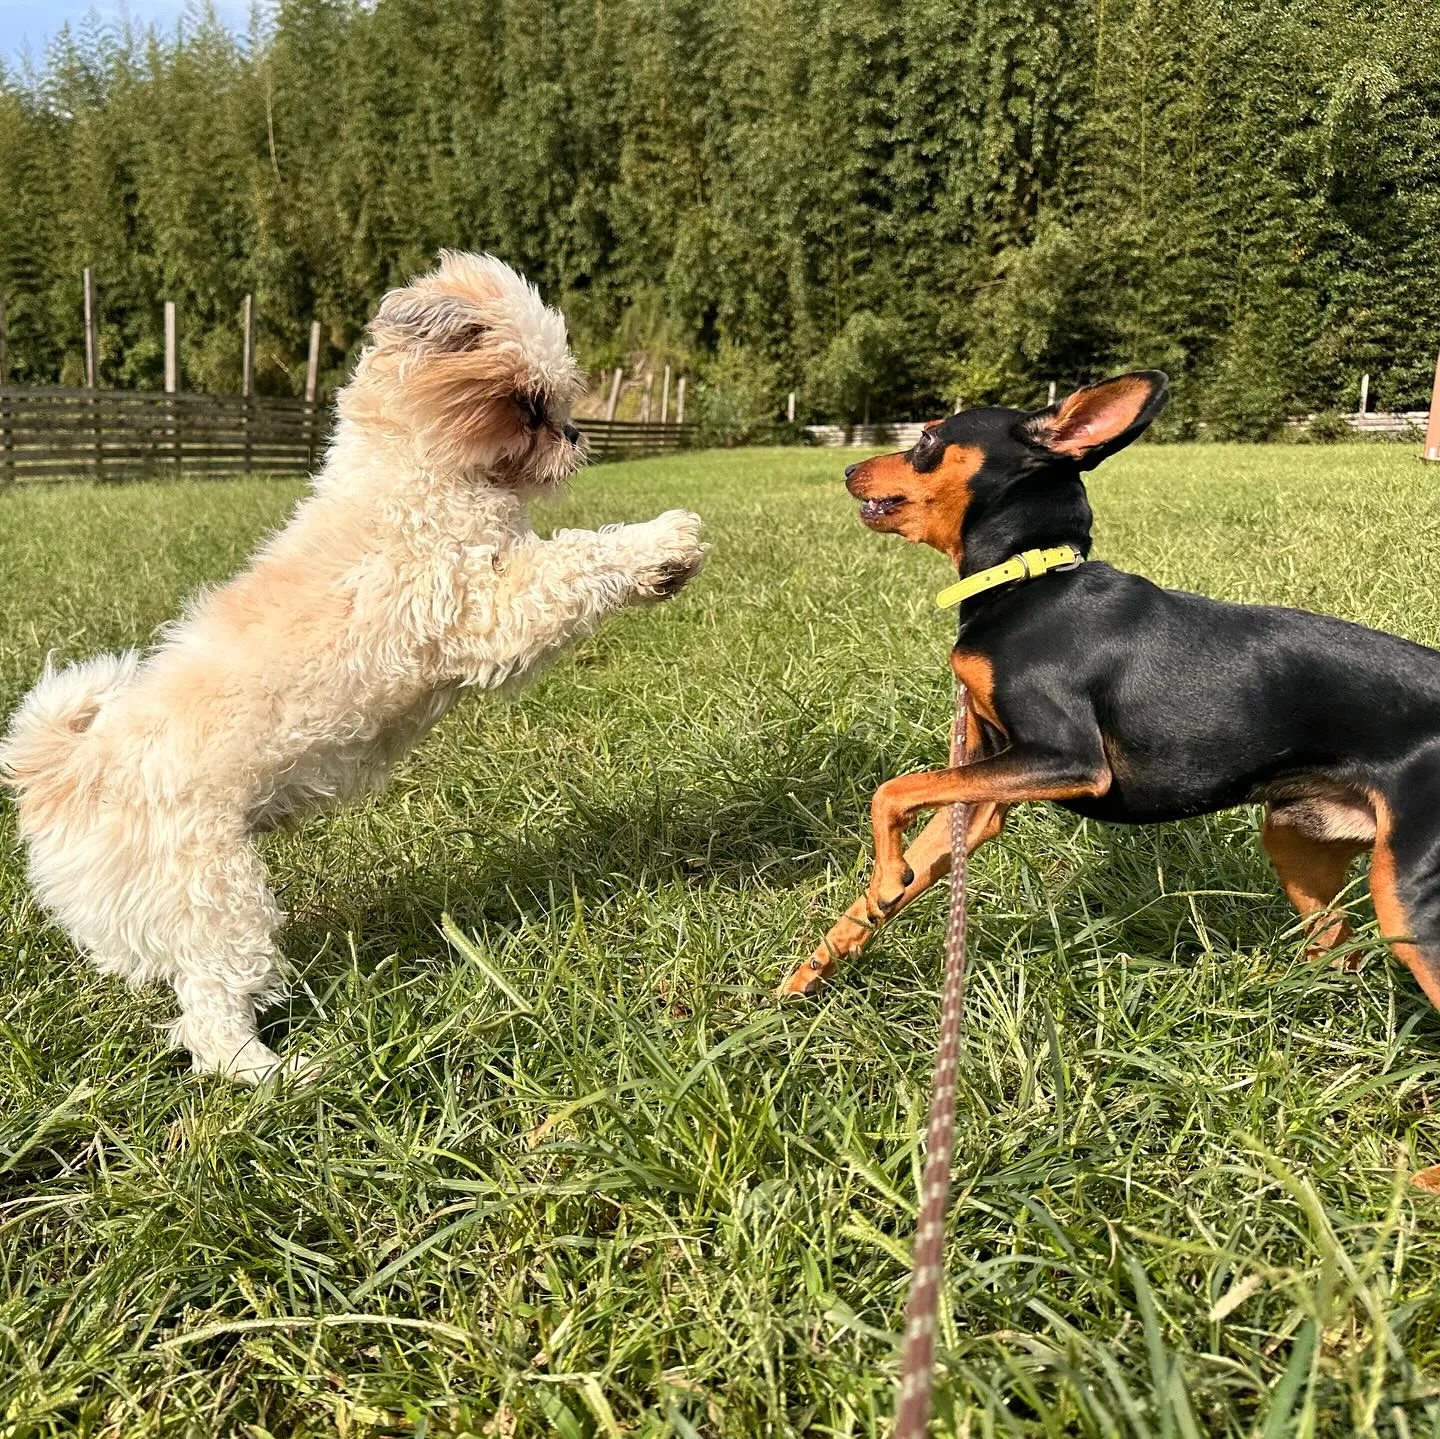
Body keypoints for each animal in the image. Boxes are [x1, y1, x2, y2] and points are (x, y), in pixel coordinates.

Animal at [1, 250, 708, 1083]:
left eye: (558, 400)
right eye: (527, 403)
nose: (573, 432)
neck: (415, 467)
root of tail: (57, 771)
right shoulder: (483, 605)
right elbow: (576, 559)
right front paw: (662, 541)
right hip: (215, 895)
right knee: (210, 1012)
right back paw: (276, 1075)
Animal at [783, 371, 1440, 1181]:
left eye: (930, 437)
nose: (848, 467)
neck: (1030, 581)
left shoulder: (1065, 760)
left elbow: (891, 789)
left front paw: (884, 876)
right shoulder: (985, 793)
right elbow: (881, 871)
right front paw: (804, 975)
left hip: (1410, 896)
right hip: (1303, 849)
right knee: (1340, 946)